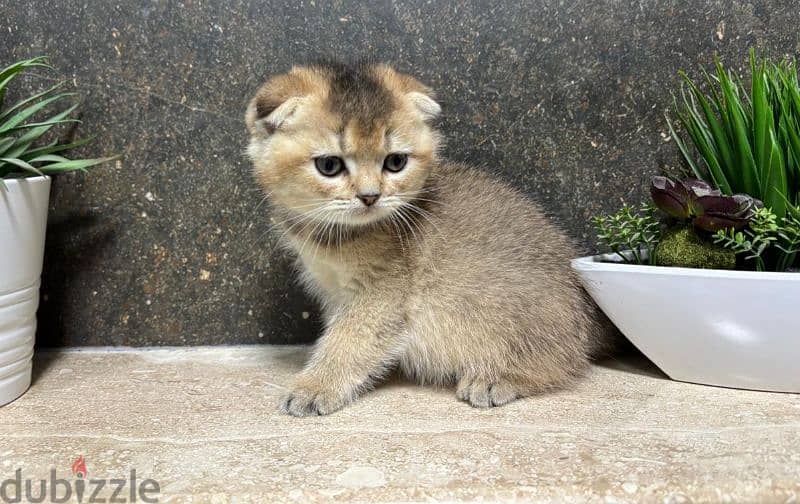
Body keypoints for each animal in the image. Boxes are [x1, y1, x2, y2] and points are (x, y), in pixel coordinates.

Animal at [244, 62, 612, 418]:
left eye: (395, 162)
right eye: (329, 165)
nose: (370, 196)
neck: (336, 235)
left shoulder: (382, 296)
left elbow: (348, 342)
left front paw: (315, 386)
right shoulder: (336, 292)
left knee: (567, 360)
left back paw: (498, 377)